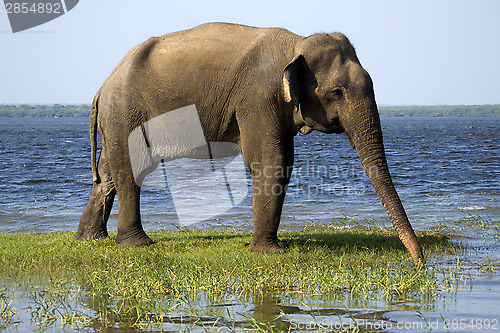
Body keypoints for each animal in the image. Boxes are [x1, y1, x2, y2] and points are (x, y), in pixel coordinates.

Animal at [76, 22, 424, 264]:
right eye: (336, 92)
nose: (418, 262)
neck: (295, 44)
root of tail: (103, 85)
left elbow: (284, 163)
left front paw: (272, 247)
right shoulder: (257, 97)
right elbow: (270, 160)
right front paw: (270, 253)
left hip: (119, 117)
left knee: (107, 171)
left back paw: (91, 239)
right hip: (125, 113)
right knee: (131, 169)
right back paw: (137, 243)